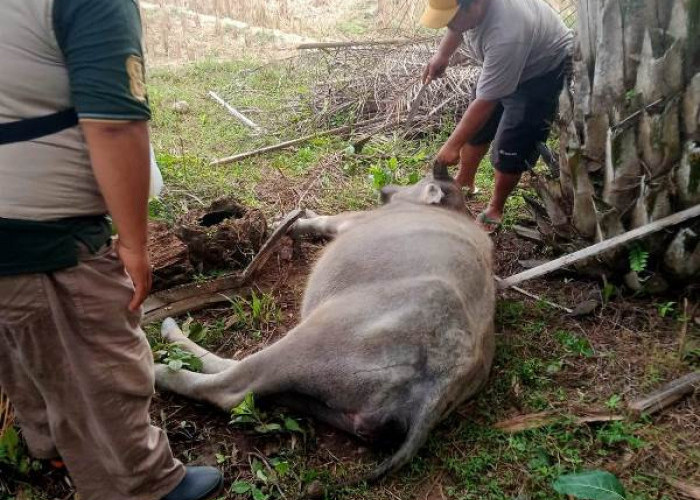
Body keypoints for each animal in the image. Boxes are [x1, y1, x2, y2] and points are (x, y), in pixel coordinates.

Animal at [156, 162, 494, 478]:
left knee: (232, 387)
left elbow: (324, 219)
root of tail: (444, 379)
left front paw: (289, 222)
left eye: (423, 179)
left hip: (314, 339)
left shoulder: (350, 220)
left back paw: (165, 356)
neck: (452, 212)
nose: (386, 190)